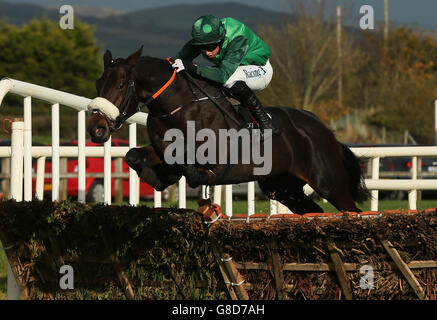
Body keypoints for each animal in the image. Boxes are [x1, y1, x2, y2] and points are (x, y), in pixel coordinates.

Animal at [87, 47, 368, 212]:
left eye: (121, 84)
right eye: (98, 83)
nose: (97, 129)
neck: (177, 107)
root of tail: (327, 132)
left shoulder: (213, 157)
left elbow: (191, 166)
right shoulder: (161, 149)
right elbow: (134, 155)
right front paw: (159, 177)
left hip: (329, 183)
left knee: (352, 210)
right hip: (282, 186)